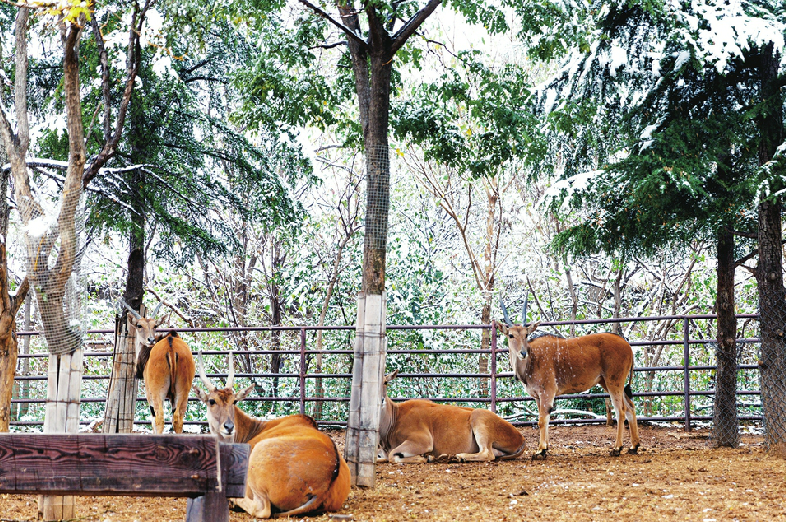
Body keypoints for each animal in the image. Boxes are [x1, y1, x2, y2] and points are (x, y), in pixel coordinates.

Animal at [122, 298, 198, 432]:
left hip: (158, 393)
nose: (151, 340)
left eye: (155, 326)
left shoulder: (150, 394)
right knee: (178, 419)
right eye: (139, 325)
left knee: (159, 418)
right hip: (182, 392)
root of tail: (171, 347)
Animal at [376, 368, 524, 462]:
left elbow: (393, 456)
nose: (381, 400)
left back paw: (460, 456)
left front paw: (425, 457)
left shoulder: (422, 441)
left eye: (385, 382)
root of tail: (520, 437)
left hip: (479, 417)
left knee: (487, 454)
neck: (396, 416)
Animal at [500, 294, 640, 458]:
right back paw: (634, 446)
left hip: (614, 382)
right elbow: (545, 418)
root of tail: (628, 346)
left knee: (621, 411)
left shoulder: (547, 392)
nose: (522, 353)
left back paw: (617, 448)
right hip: (607, 383)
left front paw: (541, 450)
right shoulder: (538, 397)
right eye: (511, 335)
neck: (532, 359)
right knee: (630, 407)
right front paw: (545, 447)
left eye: (526, 334)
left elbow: (542, 420)